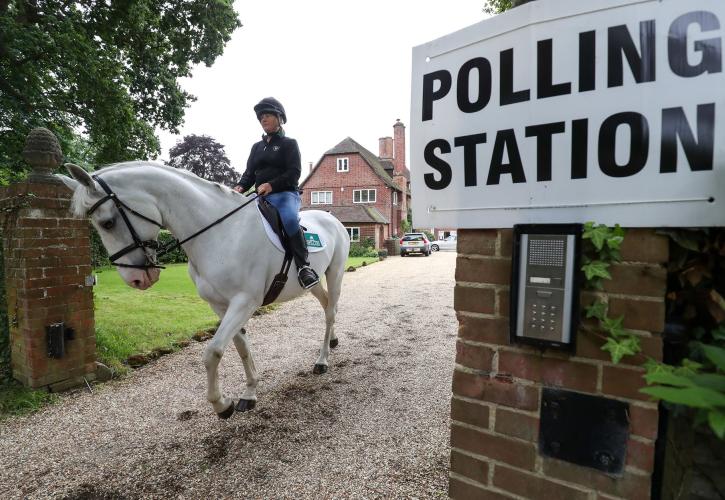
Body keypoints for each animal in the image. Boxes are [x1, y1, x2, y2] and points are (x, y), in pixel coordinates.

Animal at [59, 161, 348, 418]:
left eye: (107, 222)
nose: (136, 280)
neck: (220, 233)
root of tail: (332, 219)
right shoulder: (220, 305)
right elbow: (241, 347)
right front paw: (249, 394)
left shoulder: (244, 302)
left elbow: (213, 352)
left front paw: (222, 405)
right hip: (312, 284)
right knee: (326, 306)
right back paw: (332, 342)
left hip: (334, 274)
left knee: (331, 311)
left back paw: (322, 360)